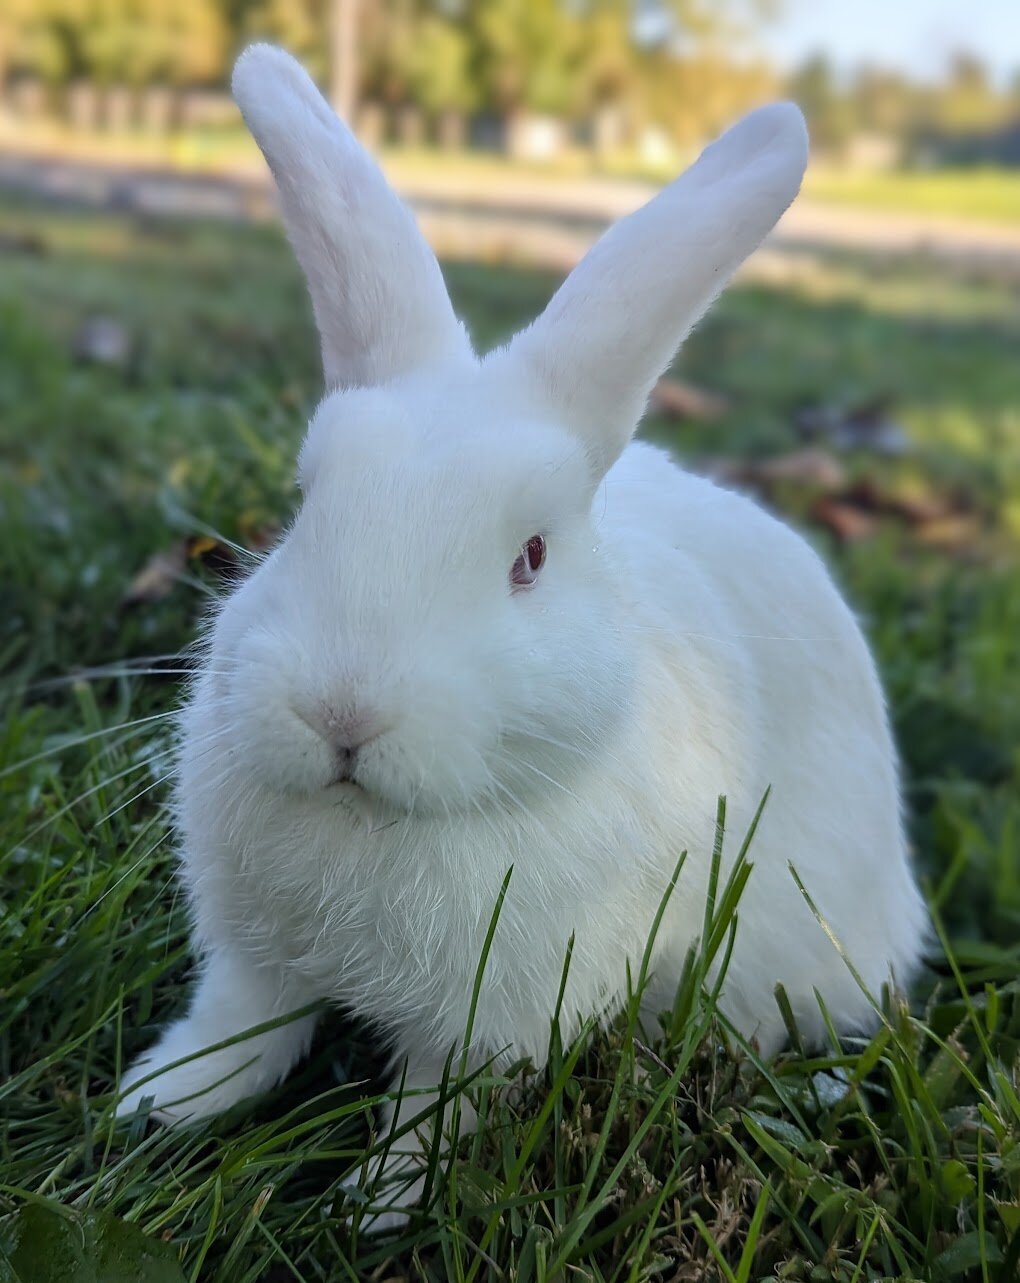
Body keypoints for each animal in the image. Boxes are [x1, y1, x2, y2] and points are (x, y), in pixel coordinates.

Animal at [115, 44, 927, 1222]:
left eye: (531, 556)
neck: (380, 821)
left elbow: (434, 1106)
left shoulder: (494, 1023)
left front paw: (376, 1201)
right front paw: (160, 1100)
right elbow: (243, 1027)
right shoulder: (254, 955)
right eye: (307, 508)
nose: (341, 712)